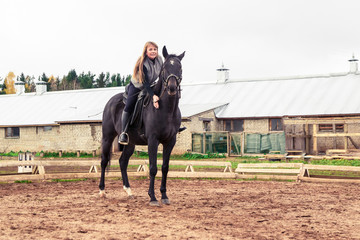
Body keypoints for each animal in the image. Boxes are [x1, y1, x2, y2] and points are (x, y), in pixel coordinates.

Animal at [99, 46, 186, 206]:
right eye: (164, 68)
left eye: (180, 67)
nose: (172, 88)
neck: (166, 109)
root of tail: (111, 101)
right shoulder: (153, 140)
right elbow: (153, 168)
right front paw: (152, 197)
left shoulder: (170, 141)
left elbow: (165, 168)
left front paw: (164, 195)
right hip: (107, 137)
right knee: (103, 161)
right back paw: (102, 191)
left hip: (130, 143)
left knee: (122, 162)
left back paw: (128, 191)